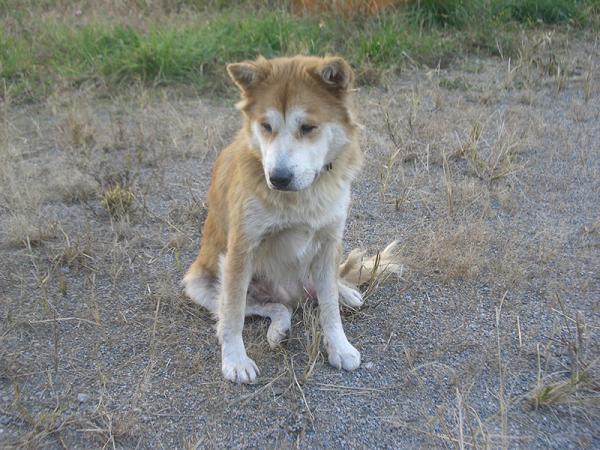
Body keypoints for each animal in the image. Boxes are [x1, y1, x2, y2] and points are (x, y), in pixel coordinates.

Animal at [183, 53, 398, 384]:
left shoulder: (329, 241)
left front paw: (339, 347)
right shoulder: (240, 251)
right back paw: (278, 329)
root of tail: (291, 294)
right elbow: (232, 315)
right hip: (202, 282)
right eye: (266, 126)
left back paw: (344, 292)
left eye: (308, 127)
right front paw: (235, 361)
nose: (278, 178)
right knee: (269, 308)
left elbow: (329, 308)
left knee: (321, 290)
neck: (301, 196)